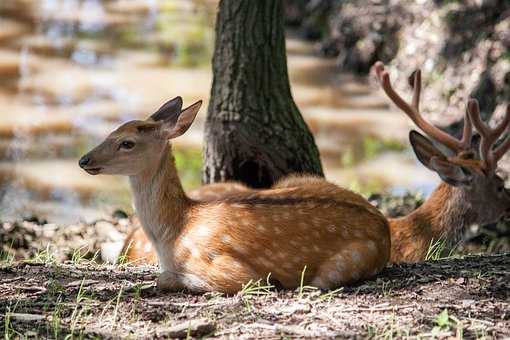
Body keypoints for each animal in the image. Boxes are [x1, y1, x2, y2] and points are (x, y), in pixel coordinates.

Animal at [78, 95, 390, 292]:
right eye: (112, 131)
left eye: (127, 143)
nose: (84, 159)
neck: (173, 234)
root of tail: (384, 224)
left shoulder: (234, 270)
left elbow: (166, 279)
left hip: (348, 262)